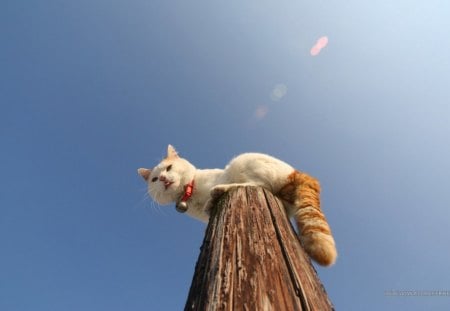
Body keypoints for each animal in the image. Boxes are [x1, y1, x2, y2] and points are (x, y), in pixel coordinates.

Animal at [138, 145, 338, 266]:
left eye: (169, 168)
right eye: (154, 179)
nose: (163, 179)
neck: (190, 192)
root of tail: (297, 172)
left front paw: (212, 197)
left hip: (243, 162)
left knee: (256, 185)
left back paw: (220, 191)